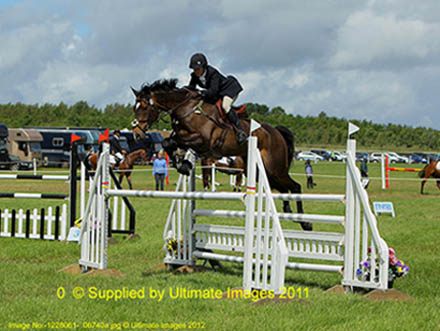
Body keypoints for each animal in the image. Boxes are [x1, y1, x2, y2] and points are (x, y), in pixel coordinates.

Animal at [131, 79, 312, 232]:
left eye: (145, 107)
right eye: (135, 108)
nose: (137, 135)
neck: (187, 109)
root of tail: (276, 132)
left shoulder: (202, 140)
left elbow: (172, 141)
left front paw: (183, 164)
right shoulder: (185, 138)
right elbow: (168, 142)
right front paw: (182, 165)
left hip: (274, 168)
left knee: (295, 186)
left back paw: (305, 222)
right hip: (260, 171)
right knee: (284, 188)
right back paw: (289, 211)